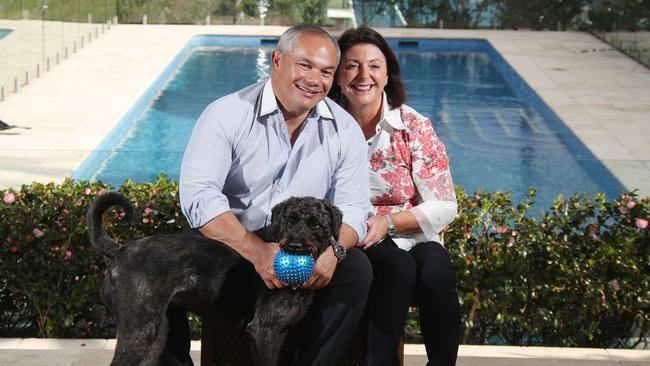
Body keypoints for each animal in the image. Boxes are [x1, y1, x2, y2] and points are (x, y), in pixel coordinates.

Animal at [88, 193, 342, 364]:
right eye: (289, 220)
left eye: (316, 224)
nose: (295, 246)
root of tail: (119, 251)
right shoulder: (263, 330)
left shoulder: (277, 334)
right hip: (138, 329)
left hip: (155, 332)